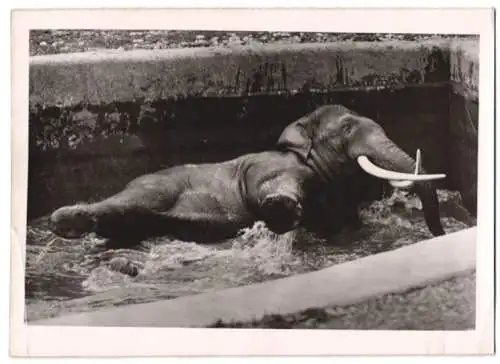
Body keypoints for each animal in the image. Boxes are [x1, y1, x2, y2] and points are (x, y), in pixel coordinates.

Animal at [49, 105, 446, 247]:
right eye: (347, 128)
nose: (440, 236)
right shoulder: (271, 165)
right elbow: (270, 186)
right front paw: (282, 211)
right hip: (155, 187)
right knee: (130, 203)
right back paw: (65, 221)